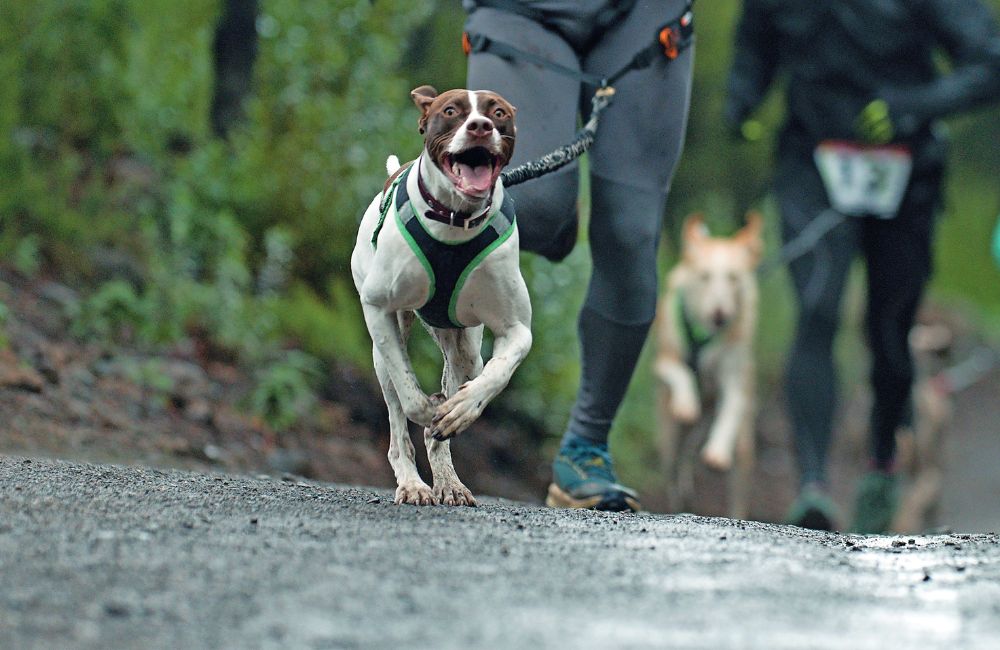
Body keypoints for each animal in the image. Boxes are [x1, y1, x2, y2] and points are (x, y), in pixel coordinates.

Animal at [352, 87, 532, 506]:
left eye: (498, 112)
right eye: (451, 111)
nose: (480, 126)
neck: (455, 218)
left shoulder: (517, 328)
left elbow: (497, 373)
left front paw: (462, 408)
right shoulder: (378, 309)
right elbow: (409, 392)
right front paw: (428, 407)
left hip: (463, 344)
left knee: (466, 373)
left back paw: (448, 481)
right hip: (382, 345)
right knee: (397, 420)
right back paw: (413, 483)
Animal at [652, 213, 760, 516]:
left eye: (734, 278)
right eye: (705, 277)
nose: (720, 313)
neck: (705, 334)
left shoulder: (735, 380)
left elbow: (732, 406)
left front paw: (717, 451)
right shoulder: (664, 361)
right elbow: (681, 373)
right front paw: (686, 402)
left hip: (742, 449)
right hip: (669, 437)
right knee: (674, 464)